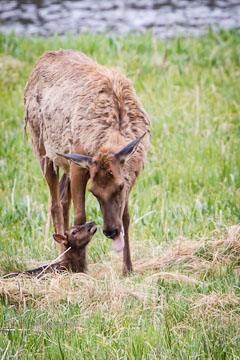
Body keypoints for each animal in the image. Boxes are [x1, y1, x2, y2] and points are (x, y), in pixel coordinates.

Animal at [23, 49, 150, 276]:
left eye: (120, 187)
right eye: (93, 191)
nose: (110, 231)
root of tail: (41, 60)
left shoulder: (130, 176)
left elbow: (126, 216)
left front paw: (128, 268)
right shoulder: (79, 165)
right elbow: (79, 217)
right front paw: (78, 264)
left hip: (64, 159)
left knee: (63, 198)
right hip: (42, 148)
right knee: (55, 204)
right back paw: (61, 255)